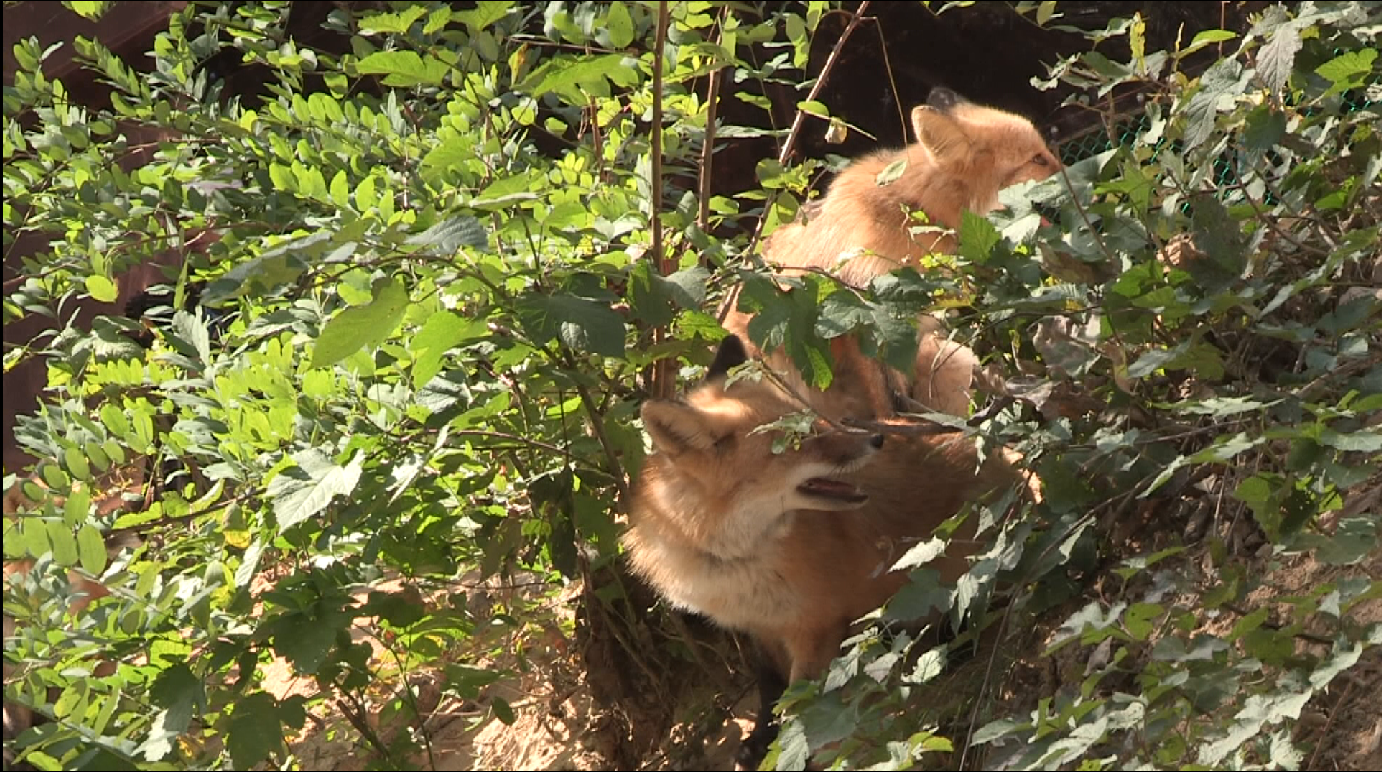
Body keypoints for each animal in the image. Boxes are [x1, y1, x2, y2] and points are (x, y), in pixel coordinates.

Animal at [627, 335, 1028, 767]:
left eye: (812, 418)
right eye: (796, 441)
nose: (877, 439)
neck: (738, 558)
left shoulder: (816, 624)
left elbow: (797, 707)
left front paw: (789, 753)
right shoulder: (760, 626)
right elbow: (770, 688)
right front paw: (760, 742)